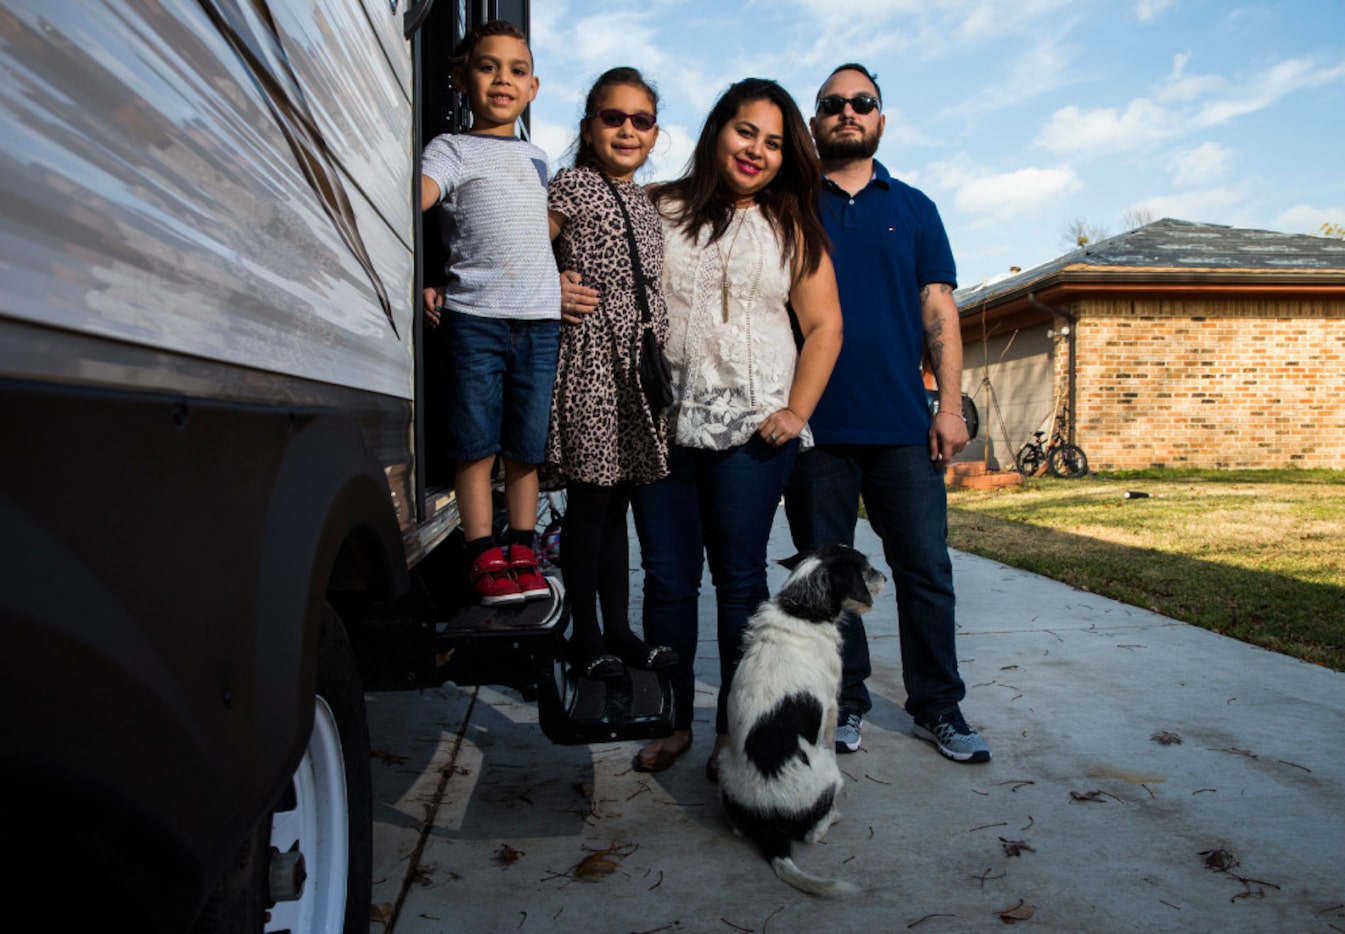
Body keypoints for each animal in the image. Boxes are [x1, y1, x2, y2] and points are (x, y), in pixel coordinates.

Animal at [720, 549, 887, 899]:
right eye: (865, 568)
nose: (885, 577)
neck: (801, 609)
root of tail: (770, 823)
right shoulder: (833, 705)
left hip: (725, 764)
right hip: (827, 771)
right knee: (812, 833)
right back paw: (833, 816)